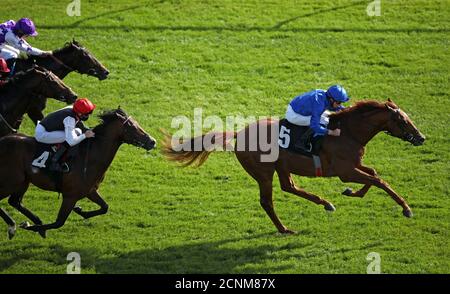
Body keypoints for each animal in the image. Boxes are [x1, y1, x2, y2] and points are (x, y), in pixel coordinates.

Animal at [0, 108, 156, 239]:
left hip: (23, 181)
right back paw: (15, 226)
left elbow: (105, 207)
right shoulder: (70, 195)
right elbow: (59, 222)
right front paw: (31, 227)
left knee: (15, 201)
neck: (91, 155)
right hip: (11, 181)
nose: (152, 141)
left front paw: (80, 210)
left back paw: (30, 222)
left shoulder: (90, 190)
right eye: (131, 127)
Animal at [163, 100, 426, 233]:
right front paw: (406, 208)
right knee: (267, 201)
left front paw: (352, 192)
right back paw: (284, 228)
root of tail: (239, 134)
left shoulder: (354, 166)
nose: (421, 137)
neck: (348, 132)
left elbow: (373, 175)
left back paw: (325, 203)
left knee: (289, 186)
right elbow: (378, 180)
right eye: (403, 120)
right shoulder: (345, 171)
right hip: (263, 172)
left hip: (282, 166)